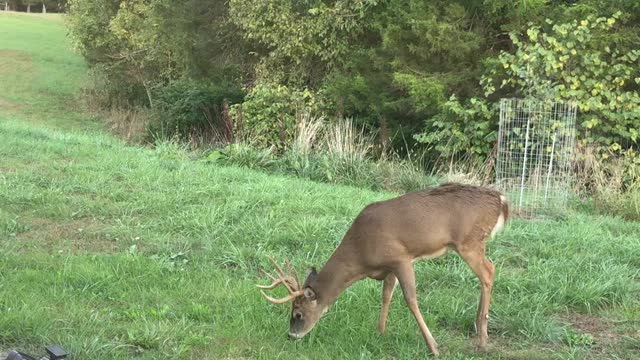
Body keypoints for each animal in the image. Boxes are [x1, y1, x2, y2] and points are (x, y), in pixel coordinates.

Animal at [256, 184, 510, 356]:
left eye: (298, 314)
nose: (291, 335)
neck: (361, 256)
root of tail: (502, 200)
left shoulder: (401, 258)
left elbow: (410, 299)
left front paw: (433, 346)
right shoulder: (388, 268)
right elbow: (386, 294)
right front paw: (380, 332)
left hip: (469, 242)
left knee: (489, 271)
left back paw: (482, 338)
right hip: (473, 244)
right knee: (488, 273)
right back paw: (478, 326)